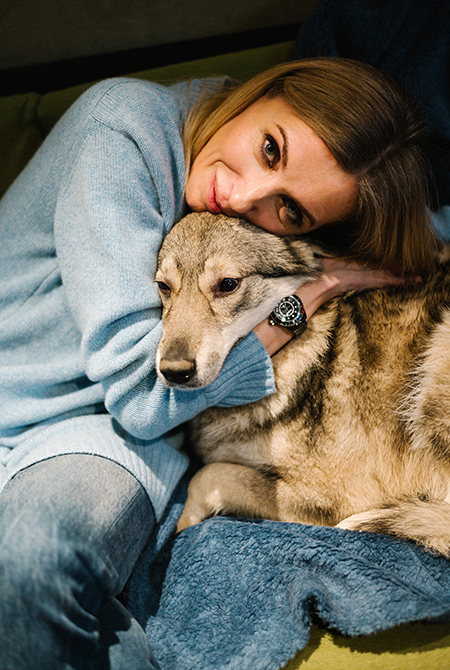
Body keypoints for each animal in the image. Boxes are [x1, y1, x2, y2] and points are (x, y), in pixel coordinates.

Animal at [156, 211, 450, 556]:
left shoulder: (340, 494)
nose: (174, 371)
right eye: (163, 287)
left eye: (228, 285)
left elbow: (207, 476)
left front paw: (178, 532)